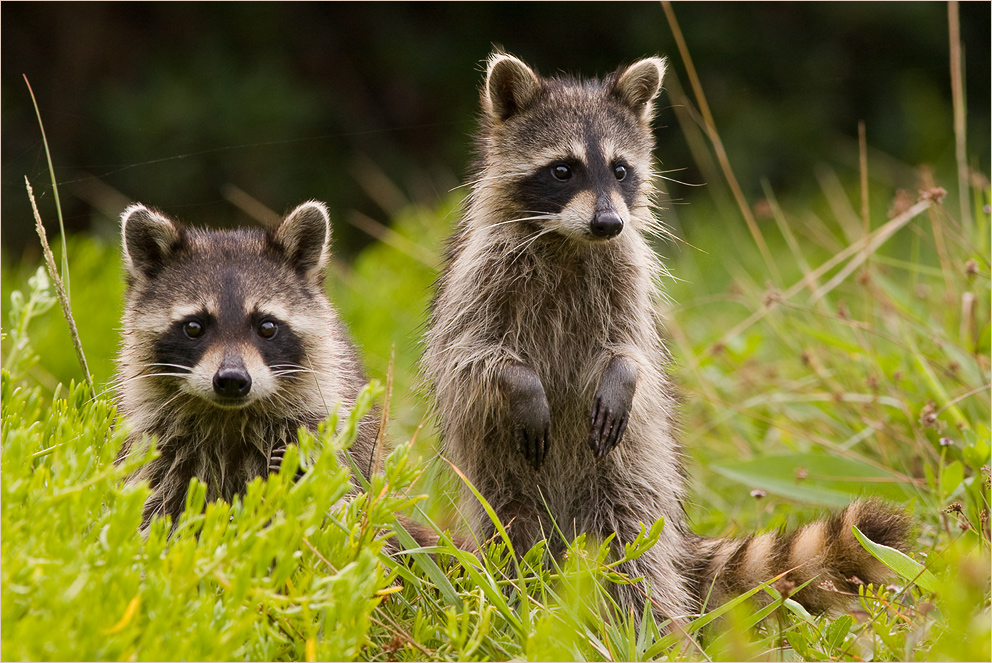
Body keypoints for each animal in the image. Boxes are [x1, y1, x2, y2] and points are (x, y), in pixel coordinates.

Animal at [115, 200, 380, 532]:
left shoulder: (315, 427)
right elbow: (157, 507)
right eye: (194, 327)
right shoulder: (159, 445)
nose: (231, 379)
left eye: (267, 327)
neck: (229, 416)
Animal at [422, 53, 912, 628]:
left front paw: (625, 371)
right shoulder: (477, 276)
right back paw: (521, 611)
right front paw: (519, 382)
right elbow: (468, 355)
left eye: (620, 170)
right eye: (562, 170)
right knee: (513, 535)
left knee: (635, 547)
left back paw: (657, 628)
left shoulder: (624, 274)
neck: (569, 240)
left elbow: (634, 345)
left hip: (635, 465)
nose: (609, 222)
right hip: (501, 474)